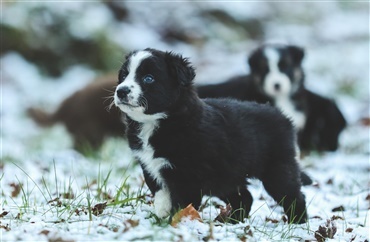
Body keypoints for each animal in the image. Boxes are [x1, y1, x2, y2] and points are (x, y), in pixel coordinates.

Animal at [114, 48, 308, 224]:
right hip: (226, 175)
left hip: (277, 168)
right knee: (244, 197)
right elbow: (160, 190)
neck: (157, 121)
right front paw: (161, 212)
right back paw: (233, 221)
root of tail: (281, 115)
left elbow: (182, 203)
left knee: (293, 195)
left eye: (148, 78)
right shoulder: (149, 165)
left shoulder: (187, 176)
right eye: (123, 75)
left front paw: (175, 223)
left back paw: (297, 221)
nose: (121, 91)